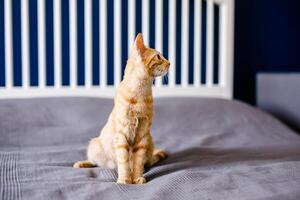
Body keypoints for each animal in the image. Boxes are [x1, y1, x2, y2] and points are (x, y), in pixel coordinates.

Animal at [73, 33, 169, 184]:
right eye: (158, 57)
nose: (170, 63)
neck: (141, 93)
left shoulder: (143, 136)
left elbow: (138, 161)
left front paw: (137, 177)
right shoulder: (122, 135)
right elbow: (123, 161)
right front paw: (124, 179)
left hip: (149, 142)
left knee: (147, 162)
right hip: (94, 146)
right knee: (95, 161)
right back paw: (82, 163)